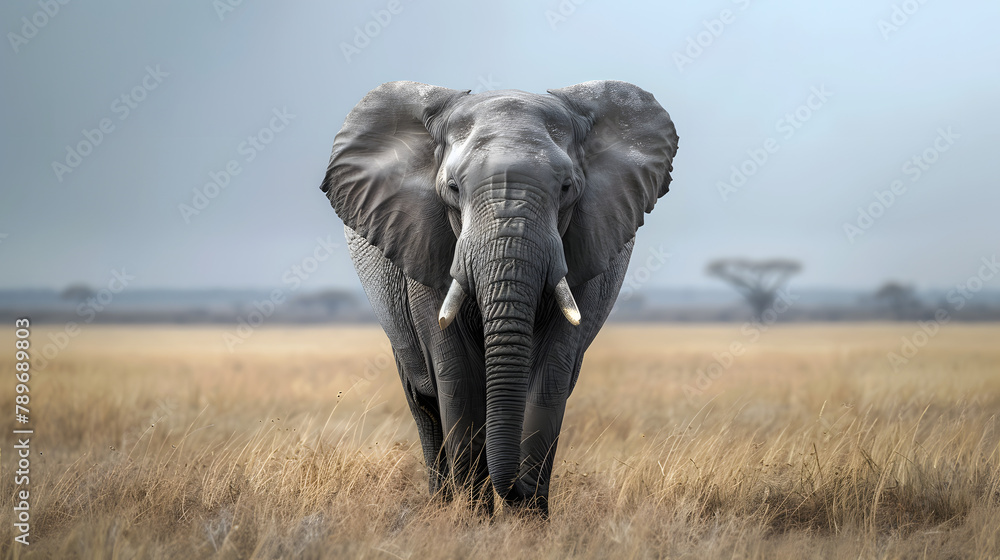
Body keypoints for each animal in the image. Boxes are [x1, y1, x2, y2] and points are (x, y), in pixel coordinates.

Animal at [319, 80, 678, 516]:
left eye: (566, 188)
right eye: (453, 188)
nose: (518, 491)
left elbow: (550, 376)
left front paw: (528, 521)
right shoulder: (425, 245)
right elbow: (458, 377)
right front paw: (474, 519)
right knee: (424, 404)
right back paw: (441, 505)